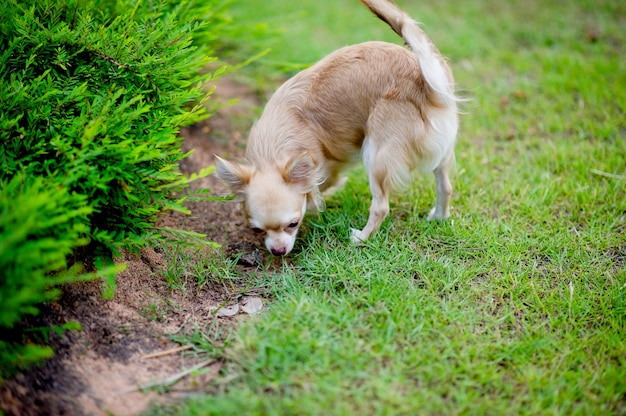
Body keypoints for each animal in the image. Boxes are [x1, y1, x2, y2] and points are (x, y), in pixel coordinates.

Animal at [216, 0, 458, 255]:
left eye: (294, 224)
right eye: (257, 230)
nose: (278, 251)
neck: (274, 145)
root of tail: (427, 85)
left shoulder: (324, 169)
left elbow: (317, 190)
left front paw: (315, 203)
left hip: (375, 154)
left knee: (381, 206)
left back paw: (361, 238)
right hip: (442, 153)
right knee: (445, 186)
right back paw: (439, 217)